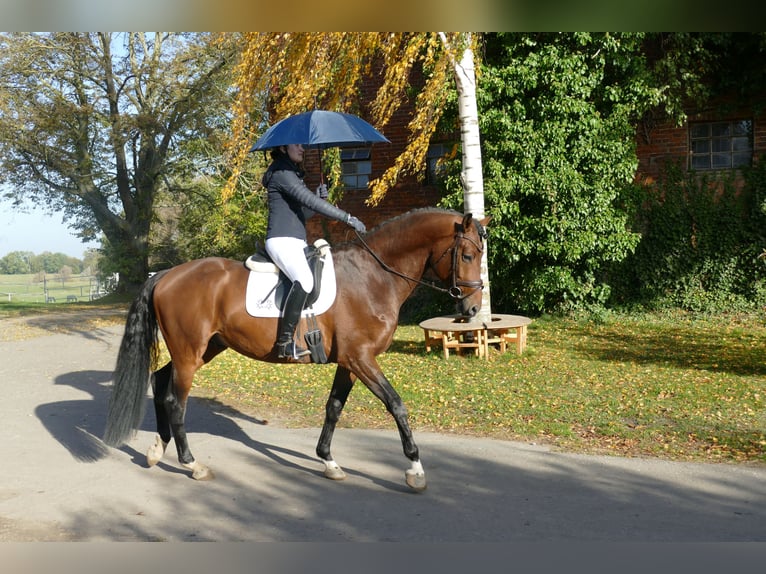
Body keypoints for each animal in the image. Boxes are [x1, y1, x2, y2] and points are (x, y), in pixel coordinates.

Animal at [103, 209, 486, 492]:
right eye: (467, 255)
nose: (471, 310)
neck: (373, 275)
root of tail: (166, 274)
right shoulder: (362, 358)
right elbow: (396, 405)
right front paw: (415, 470)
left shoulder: (350, 362)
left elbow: (333, 408)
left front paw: (328, 461)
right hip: (189, 352)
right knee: (174, 400)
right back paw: (192, 464)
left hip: (204, 349)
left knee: (159, 380)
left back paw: (157, 450)